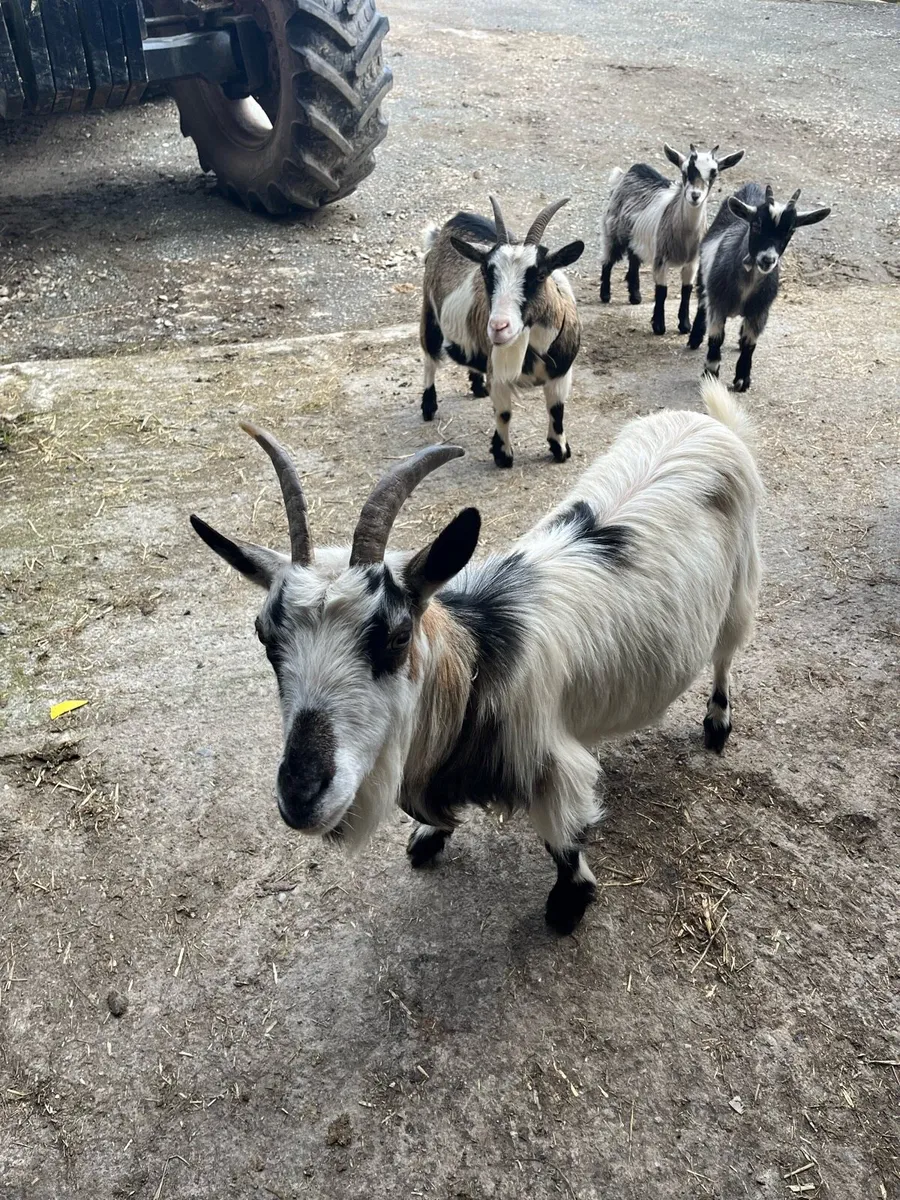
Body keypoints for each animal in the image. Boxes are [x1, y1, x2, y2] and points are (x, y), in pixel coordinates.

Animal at [190, 379, 761, 935]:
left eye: (399, 636)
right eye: (265, 635)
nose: (301, 795)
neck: (478, 660)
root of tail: (709, 421)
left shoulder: (551, 765)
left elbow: (563, 839)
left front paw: (568, 904)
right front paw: (428, 836)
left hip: (740, 589)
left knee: (725, 655)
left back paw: (717, 724)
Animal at [419, 195, 584, 468]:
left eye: (540, 274)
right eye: (486, 272)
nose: (498, 327)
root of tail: (457, 219)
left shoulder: (562, 372)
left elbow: (557, 411)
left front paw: (560, 449)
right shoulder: (499, 377)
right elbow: (504, 414)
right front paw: (503, 455)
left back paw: (477, 387)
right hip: (429, 313)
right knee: (429, 358)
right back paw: (428, 406)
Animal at [600, 143, 745, 336]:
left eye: (714, 173)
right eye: (684, 171)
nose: (695, 195)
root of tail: (631, 171)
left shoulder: (692, 262)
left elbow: (686, 291)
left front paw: (685, 326)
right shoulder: (661, 258)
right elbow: (662, 291)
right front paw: (659, 326)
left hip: (636, 235)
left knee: (633, 258)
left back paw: (635, 296)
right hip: (613, 227)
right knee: (608, 258)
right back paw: (605, 294)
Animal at [687, 182, 831, 391]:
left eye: (790, 231)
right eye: (756, 225)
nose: (767, 260)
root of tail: (753, 186)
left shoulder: (760, 311)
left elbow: (750, 344)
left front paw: (742, 379)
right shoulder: (718, 304)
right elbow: (716, 338)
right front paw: (710, 374)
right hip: (703, 276)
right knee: (701, 300)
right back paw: (695, 337)